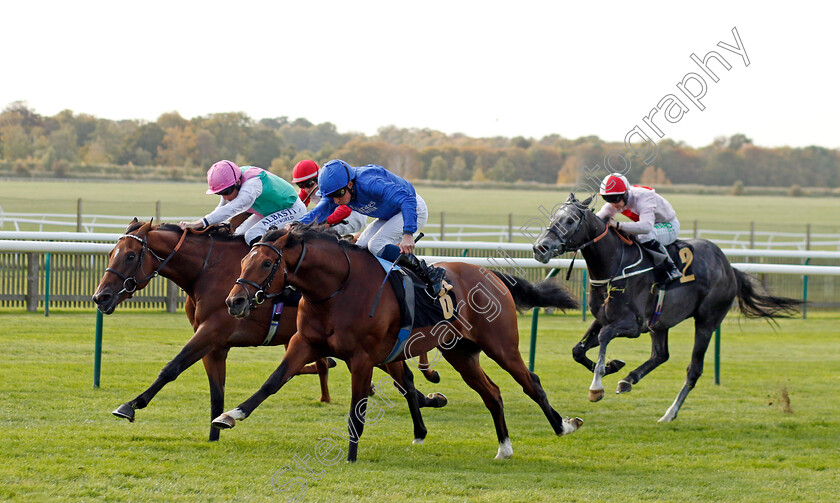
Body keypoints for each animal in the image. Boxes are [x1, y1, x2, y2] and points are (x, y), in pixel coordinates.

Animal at [92, 219, 446, 442]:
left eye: (131, 255)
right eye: (109, 253)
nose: (100, 297)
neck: (208, 270)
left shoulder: (212, 330)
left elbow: (172, 366)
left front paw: (129, 406)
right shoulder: (217, 343)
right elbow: (216, 390)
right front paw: (215, 432)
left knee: (402, 377)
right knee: (404, 377)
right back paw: (428, 405)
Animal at [213, 226, 580, 462]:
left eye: (266, 263)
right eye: (243, 261)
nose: (234, 301)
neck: (336, 289)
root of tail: (492, 275)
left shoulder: (362, 357)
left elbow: (357, 407)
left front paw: (351, 455)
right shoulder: (304, 343)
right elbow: (272, 382)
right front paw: (229, 415)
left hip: (501, 345)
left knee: (530, 382)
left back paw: (563, 425)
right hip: (461, 353)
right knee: (492, 393)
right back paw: (504, 447)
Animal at [532, 195, 800, 424]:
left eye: (570, 220)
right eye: (553, 217)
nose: (540, 248)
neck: (614, 265)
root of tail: (729, 267)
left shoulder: (632, 325)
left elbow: (605, 337)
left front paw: (597, 386)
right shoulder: (603, 318)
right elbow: (578, 350)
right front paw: (613, 367)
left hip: (707, 321)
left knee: (693, 369)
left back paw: (670, 413)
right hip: (660, 320)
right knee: (661, 354)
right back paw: (628, 380)